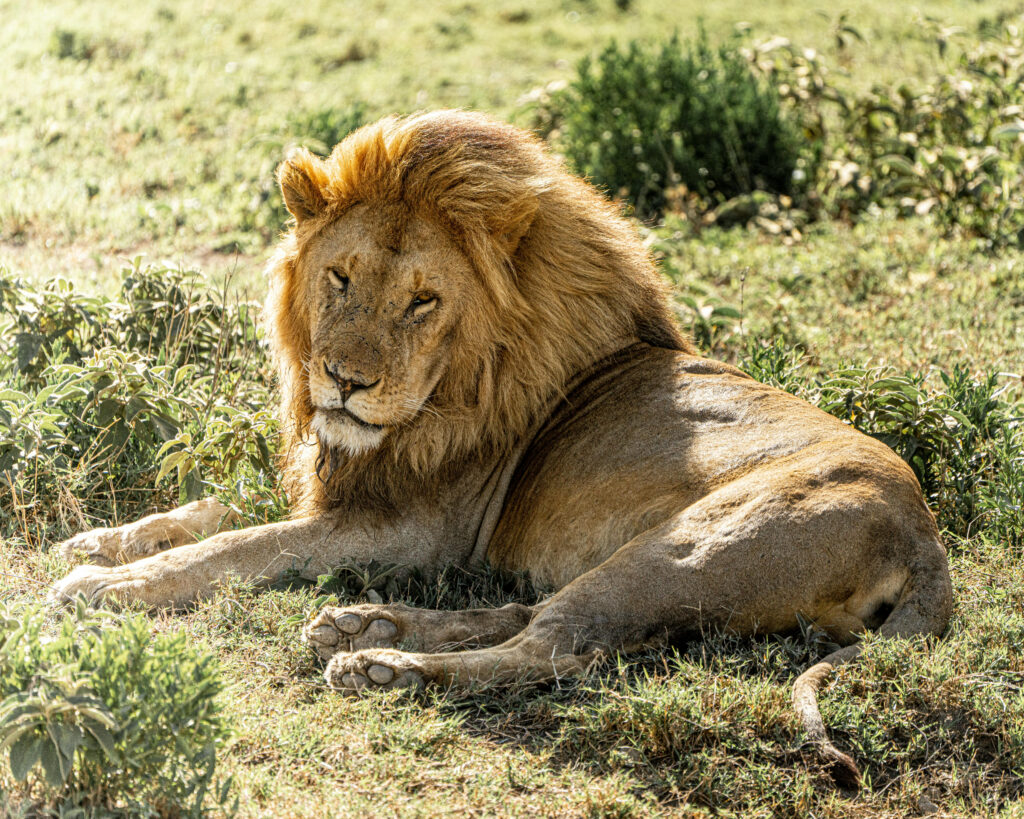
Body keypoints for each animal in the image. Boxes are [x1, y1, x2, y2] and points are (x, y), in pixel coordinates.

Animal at [53, 110, 952, 785]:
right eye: (339, 277)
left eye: (423, 300)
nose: (342, 380)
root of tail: (927, 537)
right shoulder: (350, 479)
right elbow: (215, 509)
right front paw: (99, 540)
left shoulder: (412, 526)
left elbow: (237, 547)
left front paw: (105, 585)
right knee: (531, 611)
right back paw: (359, 623)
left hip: (694, 543)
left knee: (559, 644)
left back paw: (381, 666)